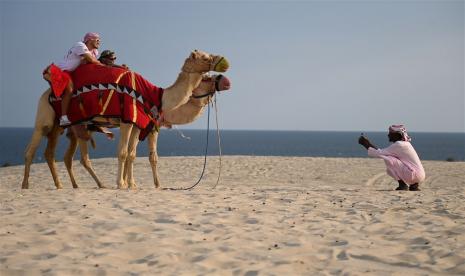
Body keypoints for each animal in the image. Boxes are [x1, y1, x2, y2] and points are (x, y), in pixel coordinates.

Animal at [21, 50, 228, 190]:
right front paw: (121, 184)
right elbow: (123, 153)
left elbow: (133, 154)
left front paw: (133, 184)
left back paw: (67, 185)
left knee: (57, 155)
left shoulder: (140, 124)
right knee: (32, 150)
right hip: (45, 119)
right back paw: (25, 185)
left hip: (66, 127)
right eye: (204, 58)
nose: (225, 78)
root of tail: (47, 92)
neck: (156, 96)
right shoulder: (130, 121)